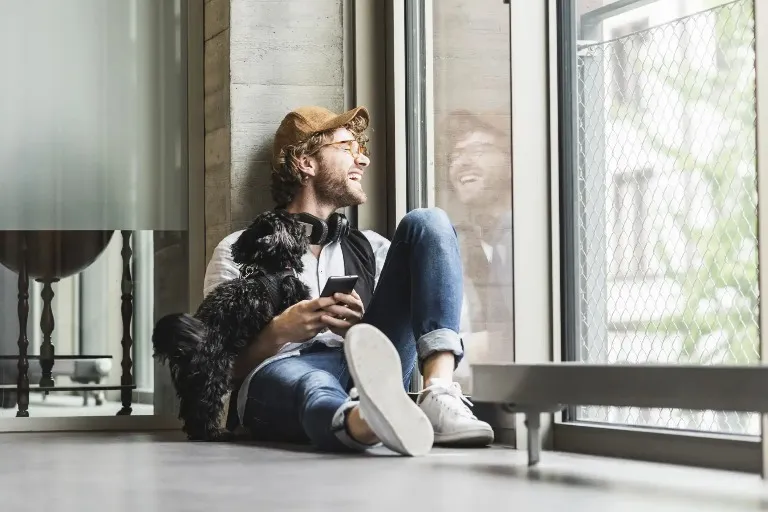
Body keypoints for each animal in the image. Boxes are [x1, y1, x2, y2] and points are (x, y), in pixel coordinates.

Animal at [152, 208, 310, 440]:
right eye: (293, 225)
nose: (304, 228)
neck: (266, 266)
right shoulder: (294, 294)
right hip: (213, 375)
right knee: (204, 406)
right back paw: (215, 432)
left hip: (190, 382)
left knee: (189, 409)